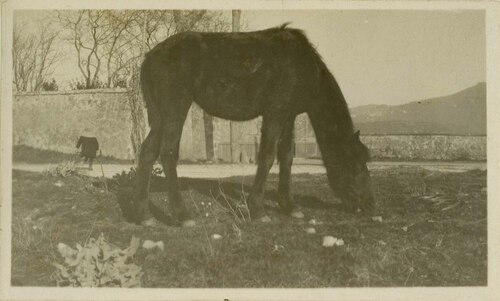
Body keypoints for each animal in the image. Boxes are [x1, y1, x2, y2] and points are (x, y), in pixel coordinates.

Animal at [135, 23, 374, 225]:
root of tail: (150, 57)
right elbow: (267, 157)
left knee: (147, 152)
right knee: (167, 153)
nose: (368, 203)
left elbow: (287, 157)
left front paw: (289, 206)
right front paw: (258, 209)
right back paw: (182, 215)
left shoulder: (288, 116)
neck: (299, 65)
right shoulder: (275, 113)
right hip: (174, 111)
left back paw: (145, 215)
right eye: (356, 164)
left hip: (159, 118)